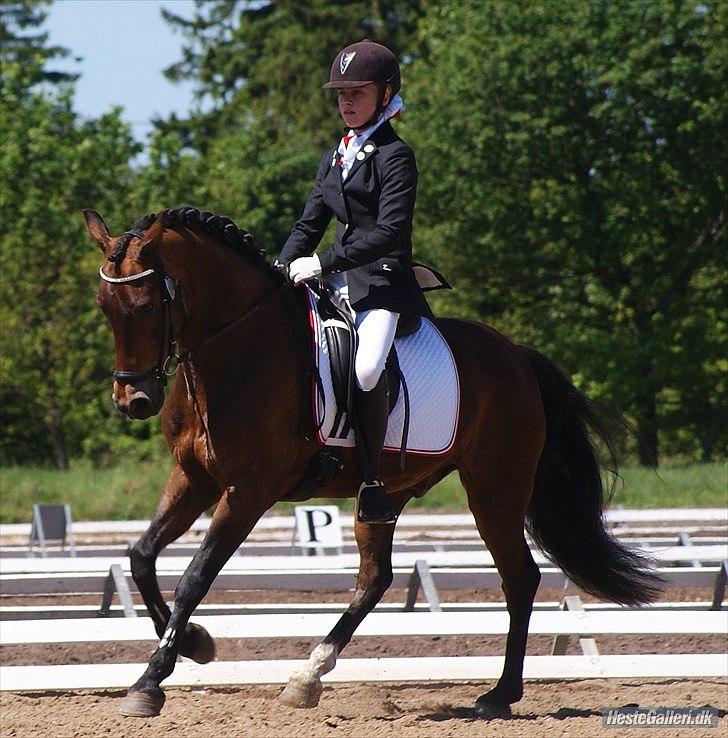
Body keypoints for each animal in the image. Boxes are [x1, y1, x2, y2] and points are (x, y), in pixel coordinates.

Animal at [84, 206, 662, 720]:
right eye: (105, 306)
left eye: (145, 306)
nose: (134, 401)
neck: (237, 348)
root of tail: (517, 356)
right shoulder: (194, 478)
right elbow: (141, 556)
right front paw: (194, 643)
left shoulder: (249, 490)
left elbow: (195, 577)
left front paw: (150, 681)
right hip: (387, 493)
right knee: (375, 578)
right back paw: (307, 677)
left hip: (495, 488)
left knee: (519, 578)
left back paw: (499, 695)